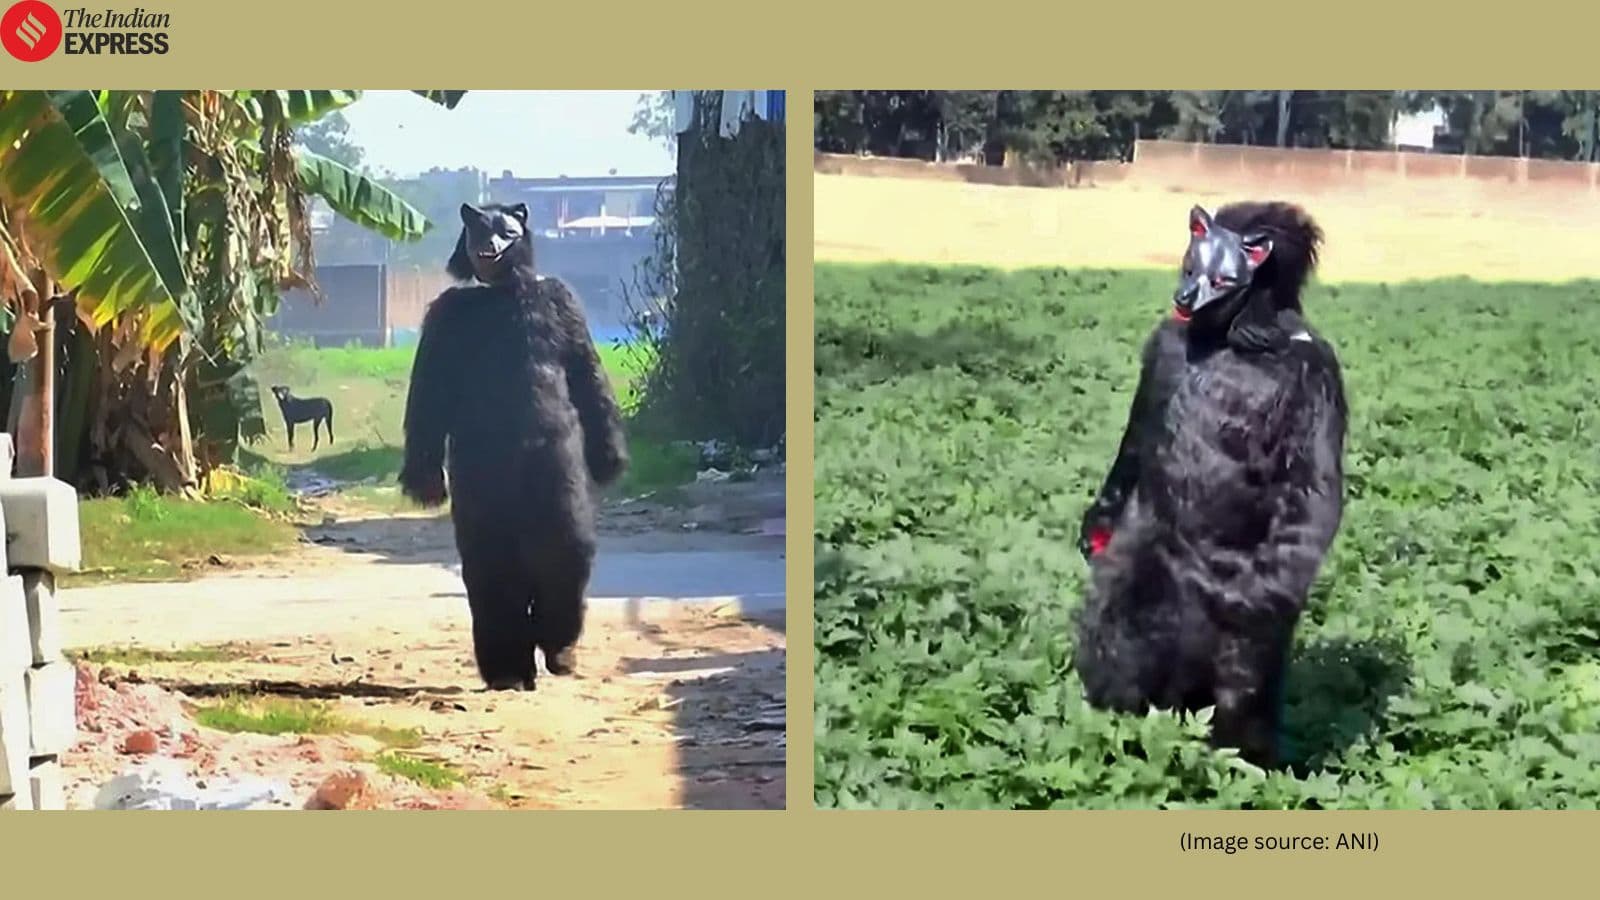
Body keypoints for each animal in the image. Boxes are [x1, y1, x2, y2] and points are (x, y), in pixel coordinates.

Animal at [400, 201, 628, 691]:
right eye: (478, 229)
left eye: (506, 229)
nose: (489, 246)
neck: (503, 292)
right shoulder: (442, 320)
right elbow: (429, 393)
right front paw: (425, 484)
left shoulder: (565, 303)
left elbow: (585, 372)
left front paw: (608, 461)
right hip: (480, 485)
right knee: (490, 565)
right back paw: (507, 670)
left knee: (560, 548)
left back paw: (556, 652)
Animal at [1072, 201, 1346, 768]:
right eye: (1188, 266)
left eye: (1222, 279)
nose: (1183, 298)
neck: (1227, 338)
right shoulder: (1161, 353)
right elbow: (1139, 437)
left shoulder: (1318, 377)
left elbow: (1312, 488)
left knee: (1243, 681)